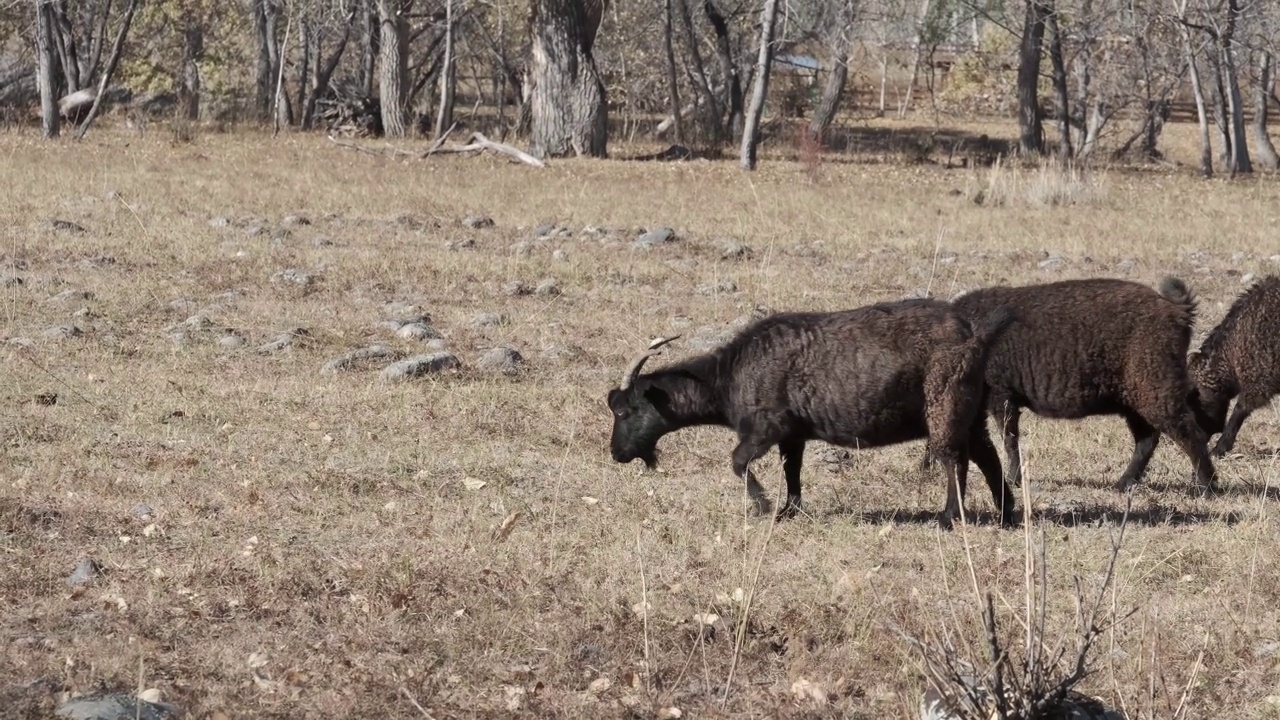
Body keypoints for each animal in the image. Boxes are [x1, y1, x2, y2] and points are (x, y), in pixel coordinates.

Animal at [609, 297, 1018, 527]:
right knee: (987, 456)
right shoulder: (793, 435)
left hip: (945, 403)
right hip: (973, 412)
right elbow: (792, 470)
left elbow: (738, 461)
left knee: (955, 459)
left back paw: (949, 517)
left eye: (624, 411)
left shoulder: (764, 428)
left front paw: (762, 505)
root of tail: (975, 335)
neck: (729, 375)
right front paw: (788, 510)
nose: (616, 453)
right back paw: (1005, 514)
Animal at [931, 274, 1218, 491]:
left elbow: (1009, 440)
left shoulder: (1001, 396)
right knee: (1148, 439)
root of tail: (1177, 310)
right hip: (1136, 399)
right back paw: (1123, 483)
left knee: (1190, 433)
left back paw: (1206, 486)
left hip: (1156, 389)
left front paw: (1013, 480)